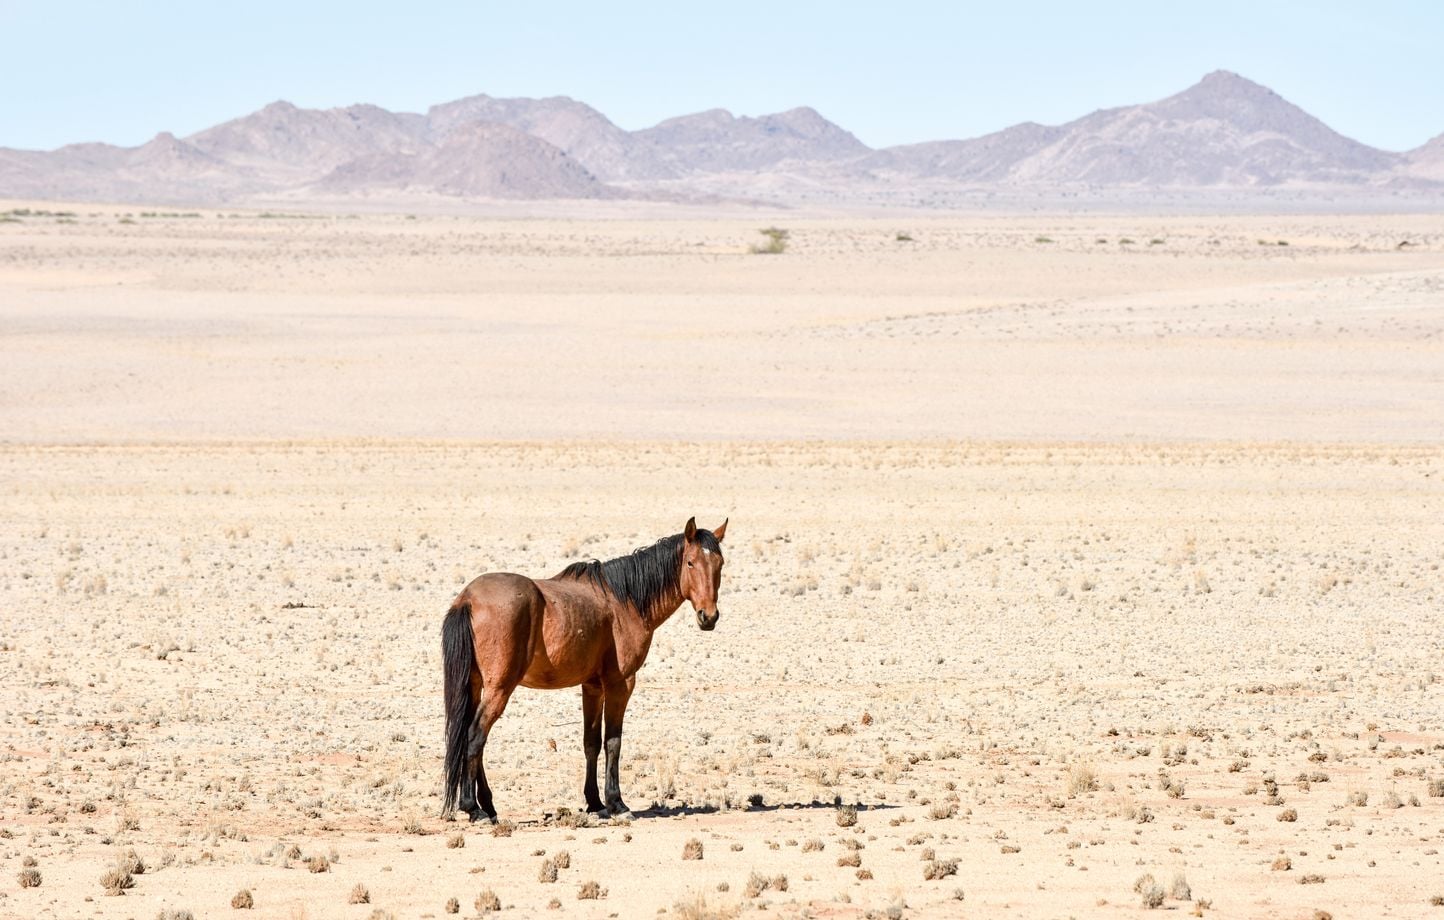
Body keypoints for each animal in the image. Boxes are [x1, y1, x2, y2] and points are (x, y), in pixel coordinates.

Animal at [441, 516, 727, 823]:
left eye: (719, 563)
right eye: (690, 562)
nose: (709, 617)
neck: (624, 600)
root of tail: (468, 599)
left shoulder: (592, 686)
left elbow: (591, 742)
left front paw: (595, 802)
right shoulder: (620, 684)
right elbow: (613, 741)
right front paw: (617, 803)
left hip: (475, 685)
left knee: (469, 737)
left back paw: (487, 806)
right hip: (499, 688)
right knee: (474, 737)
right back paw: (473, 808)